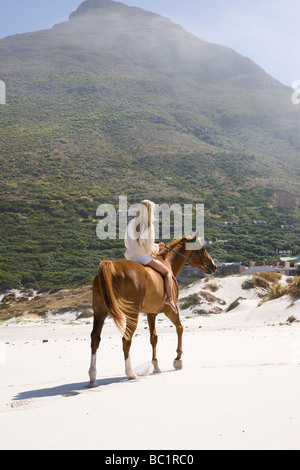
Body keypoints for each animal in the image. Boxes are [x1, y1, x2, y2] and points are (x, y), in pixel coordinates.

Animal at [88, 235, 217, 386]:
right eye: (202, 249)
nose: (213, 266)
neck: (167, 263)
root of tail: (112, 266)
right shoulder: (171, 311)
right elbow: (180, 328)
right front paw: (178, 360)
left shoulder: (151, 313)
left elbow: (153, 338)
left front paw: (156, 366)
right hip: (131, 314)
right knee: (126, 340)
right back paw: (130, 374)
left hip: (100, 311)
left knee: (95, 339)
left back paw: (92, 377)